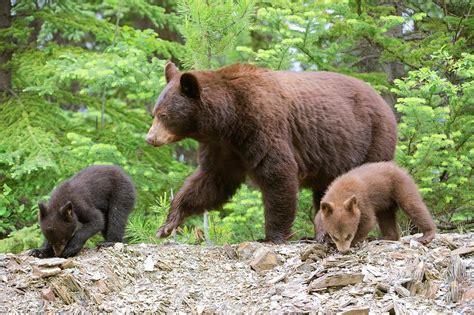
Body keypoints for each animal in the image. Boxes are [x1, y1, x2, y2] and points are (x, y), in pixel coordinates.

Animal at [146, 62, 398, 244]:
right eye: (154, 113)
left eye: (165, 115)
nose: (150, 139)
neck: (227, 121)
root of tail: (384, 101)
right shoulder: (224, 148)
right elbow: (211, 181)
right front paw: (167, 225)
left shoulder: (261, 126)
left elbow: (278, 173)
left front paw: (272, 236)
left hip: (371, 139)